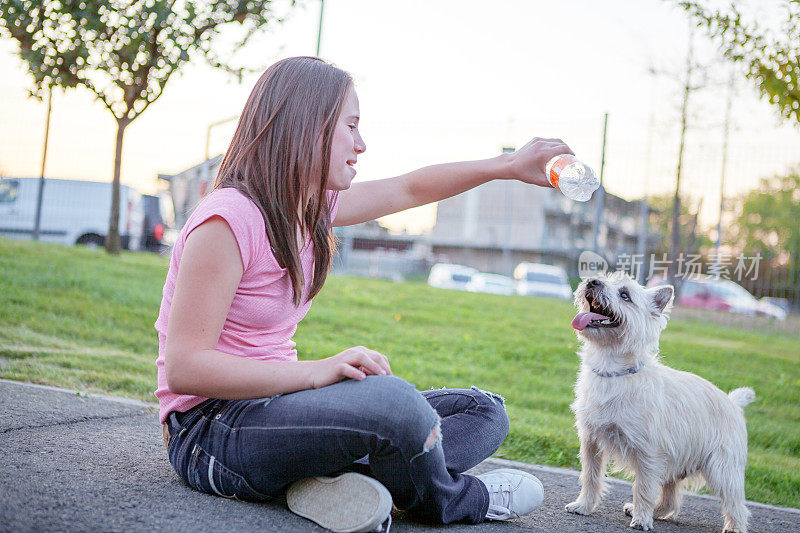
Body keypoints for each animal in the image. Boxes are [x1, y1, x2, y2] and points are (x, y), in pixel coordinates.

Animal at [564, 272, 756, 528]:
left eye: (625, 295)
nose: (592, 282)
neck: (613, 371)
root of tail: (733, 402)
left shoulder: (648, 452)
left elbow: (643, 487)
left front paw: (642, 520)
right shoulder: (592, 442)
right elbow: (590, 477)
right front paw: (583, 506)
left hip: (722, 469)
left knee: (736, 505)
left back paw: (733, 528)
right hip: (676, 464)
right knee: (671, 498)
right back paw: (649, 510)